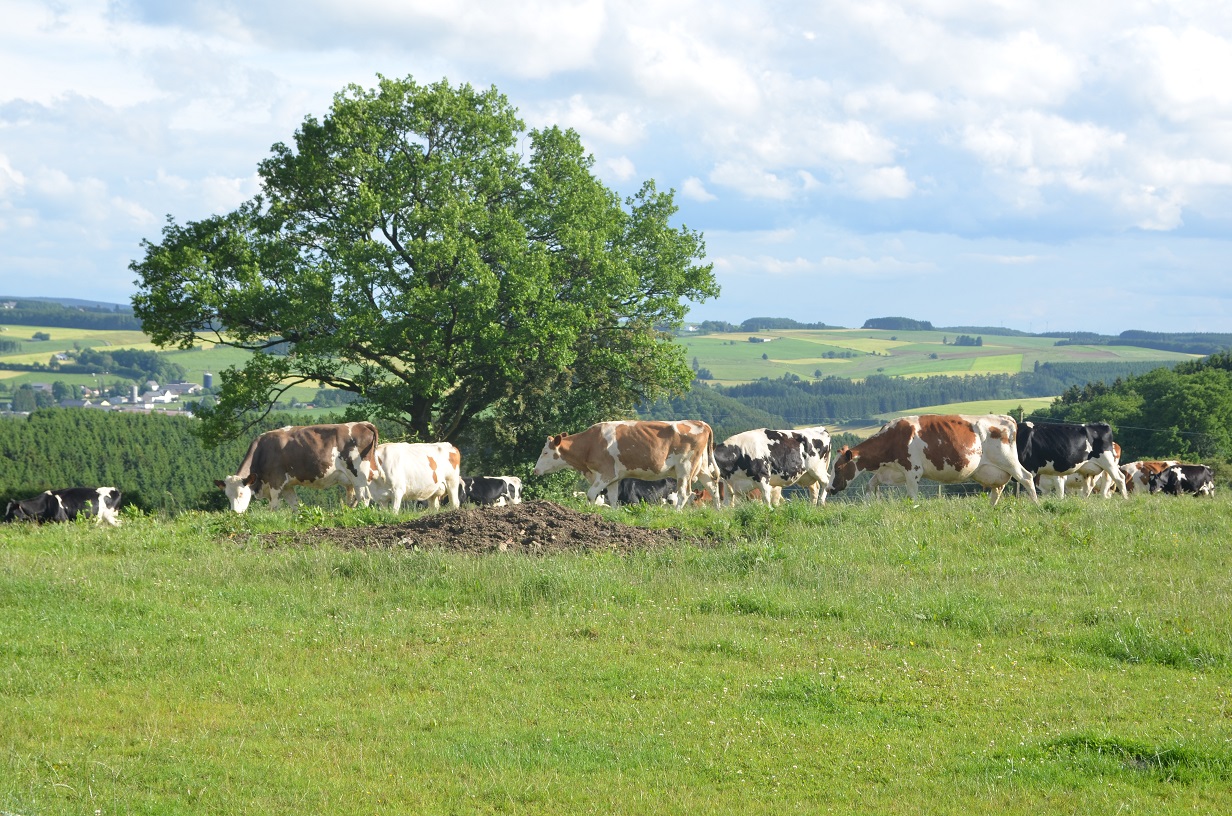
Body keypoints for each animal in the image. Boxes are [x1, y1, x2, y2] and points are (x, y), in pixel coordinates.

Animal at [215, 422, 380, 513]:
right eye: (227, 495)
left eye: (241, 493)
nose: (234, 513)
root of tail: (362, 424)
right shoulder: (287, 486)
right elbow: (295, 506)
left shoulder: (276, 482)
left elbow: (273, 506)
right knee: (355, 498)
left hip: (358, 474)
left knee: (364, 497)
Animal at [532, 419, 719, 510]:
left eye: (546, 452)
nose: (535, 470)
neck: (591, 443)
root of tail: (700, 423)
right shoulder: (614, 477)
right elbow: (614, 499)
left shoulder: (605, 473)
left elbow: (591, 494)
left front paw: (590, 512)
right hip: (701, 467)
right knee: (713, 487)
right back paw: (718, 512)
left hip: (685, 469)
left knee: (684, 493)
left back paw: (677, 512)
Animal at [828, 414, 1039, 507]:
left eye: (838, 467)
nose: (829, 489)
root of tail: (1008, 419)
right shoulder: (888, 471)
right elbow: (870, 485)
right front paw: (868, 506)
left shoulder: (912, 471)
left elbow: (912, 495)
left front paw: (913, 509)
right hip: (993, 469)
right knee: (998, 487)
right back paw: (991, 508)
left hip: (1008, 461)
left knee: (1026, 478)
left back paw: (1036, 505)